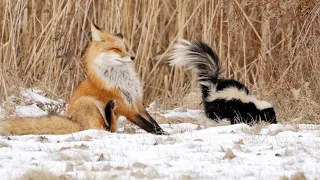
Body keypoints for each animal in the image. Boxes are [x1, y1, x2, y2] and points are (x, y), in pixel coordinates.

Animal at [0, 23, 168, 135]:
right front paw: (163, 135)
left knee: (110, 128)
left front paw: (163, 132)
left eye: (125, 48)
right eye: (116, 49)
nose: (132, 57)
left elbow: (153, 122)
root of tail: (74, 122)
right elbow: (148, 126)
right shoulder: (127, 108)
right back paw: (108, 110)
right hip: (88, 103)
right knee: (106, 129)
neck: (122, 80)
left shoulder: (136, 102)